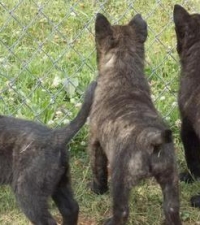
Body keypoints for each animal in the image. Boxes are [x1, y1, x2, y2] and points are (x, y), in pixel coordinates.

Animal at [88, 12, 182, 225]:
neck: (123, 69)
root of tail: (151, 138)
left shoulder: (95, 141)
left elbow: (98, 169)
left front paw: (97, 190)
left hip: (121, 181)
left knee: (122, 211)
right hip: (170, 178)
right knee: (172, 209)